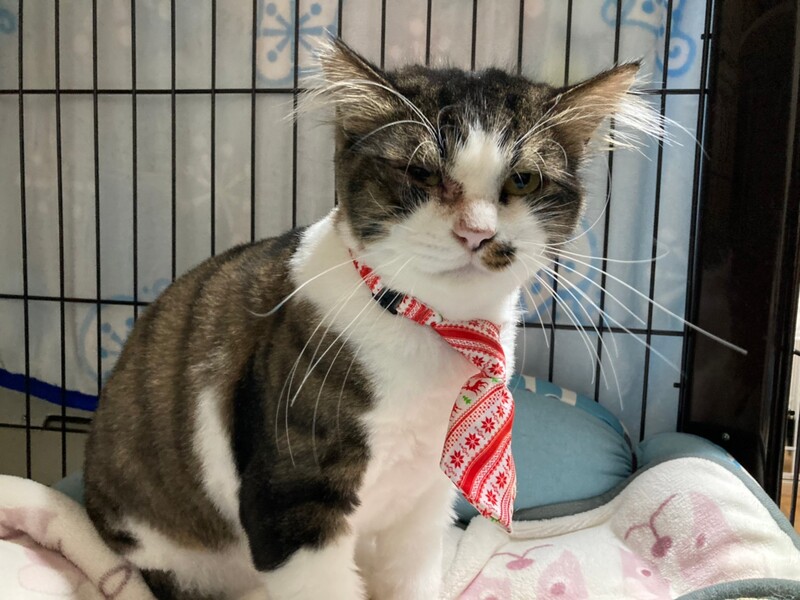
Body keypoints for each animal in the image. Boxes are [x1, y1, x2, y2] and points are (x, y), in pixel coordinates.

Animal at [83, 38, 653, 600]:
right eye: (420, 172)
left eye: (523, 179)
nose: (476, 232)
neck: (436, 331)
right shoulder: (292, 495)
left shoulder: (425, 499)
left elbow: (412, 574)